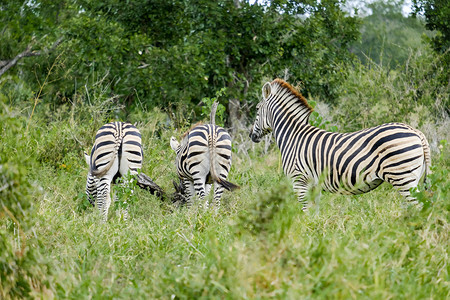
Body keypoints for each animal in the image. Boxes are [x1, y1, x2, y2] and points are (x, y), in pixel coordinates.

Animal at [250, 79, 432, 211]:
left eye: (257, 109)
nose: (252, 136)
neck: (293, 136)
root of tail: (417, 132)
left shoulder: (299, 181)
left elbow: (305, 211)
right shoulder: (314, 185)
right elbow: (314, 213)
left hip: (403, 177)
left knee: (418, 208)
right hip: (412, 178)